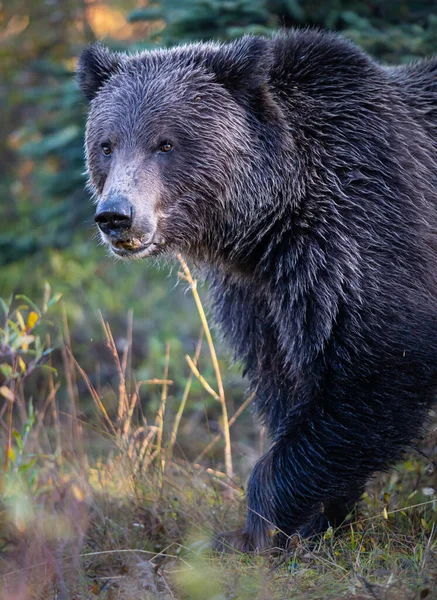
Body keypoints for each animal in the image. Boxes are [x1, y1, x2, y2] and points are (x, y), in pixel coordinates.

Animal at [77, 30, 437, 552]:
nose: (116, 216)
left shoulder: (363, 228)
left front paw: (257, 529)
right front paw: (319, 520)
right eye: (106, 144)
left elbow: (381, 364)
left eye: (165, 143)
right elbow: (285, 383)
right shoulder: (261, 296)